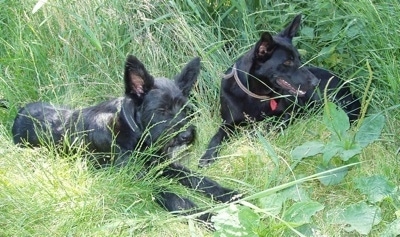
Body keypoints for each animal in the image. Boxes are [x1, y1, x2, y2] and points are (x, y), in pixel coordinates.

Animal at [11, 55, 238, 224]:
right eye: (161, 110)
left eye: (185, 108)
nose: (186, 135)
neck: (134, 133)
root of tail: (19, 112)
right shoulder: (142, 181)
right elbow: (179, 200)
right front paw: (211, 218)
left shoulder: (161, 165)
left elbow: (199, 180)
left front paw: (233, 195)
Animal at [200, 14, 362, 167]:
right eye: (287, 62)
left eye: (299, 58)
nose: (315, 82)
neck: (256, 95)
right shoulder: (228, 123)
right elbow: (216, 137)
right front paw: (208, 156)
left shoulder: (286, 115)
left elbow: (265, 127)